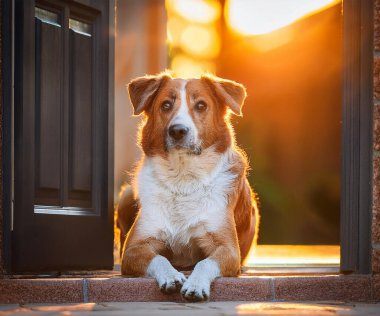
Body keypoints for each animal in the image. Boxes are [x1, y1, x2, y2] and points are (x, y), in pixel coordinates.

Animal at [117, 71, 260, 302]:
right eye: (166, 105)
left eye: (201, 105)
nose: (178, 131)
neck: (183, 177)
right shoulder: (133, 249)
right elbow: (159, 258)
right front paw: (171, 276)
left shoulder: (228, 250)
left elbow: (205, 262)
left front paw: (195, 284)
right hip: (127, 194)